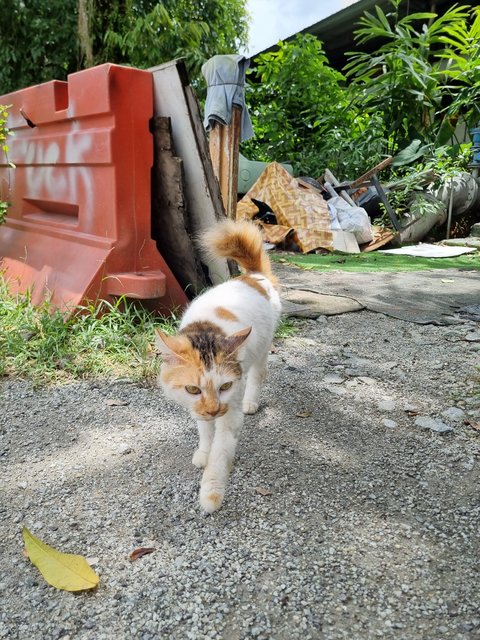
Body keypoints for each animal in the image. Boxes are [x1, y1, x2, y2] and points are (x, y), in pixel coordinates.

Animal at [154, 218, 282, 512]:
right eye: (192, 389)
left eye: (225, 386)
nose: (213, 410)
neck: (206, 330)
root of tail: (254, 276)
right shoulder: (197, 409)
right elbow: (204, 431)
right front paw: (203, 451)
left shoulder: (230, 410)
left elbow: (220, 453)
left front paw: (211, 494)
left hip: (262, 348)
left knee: (259, 374)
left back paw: (251, 402)